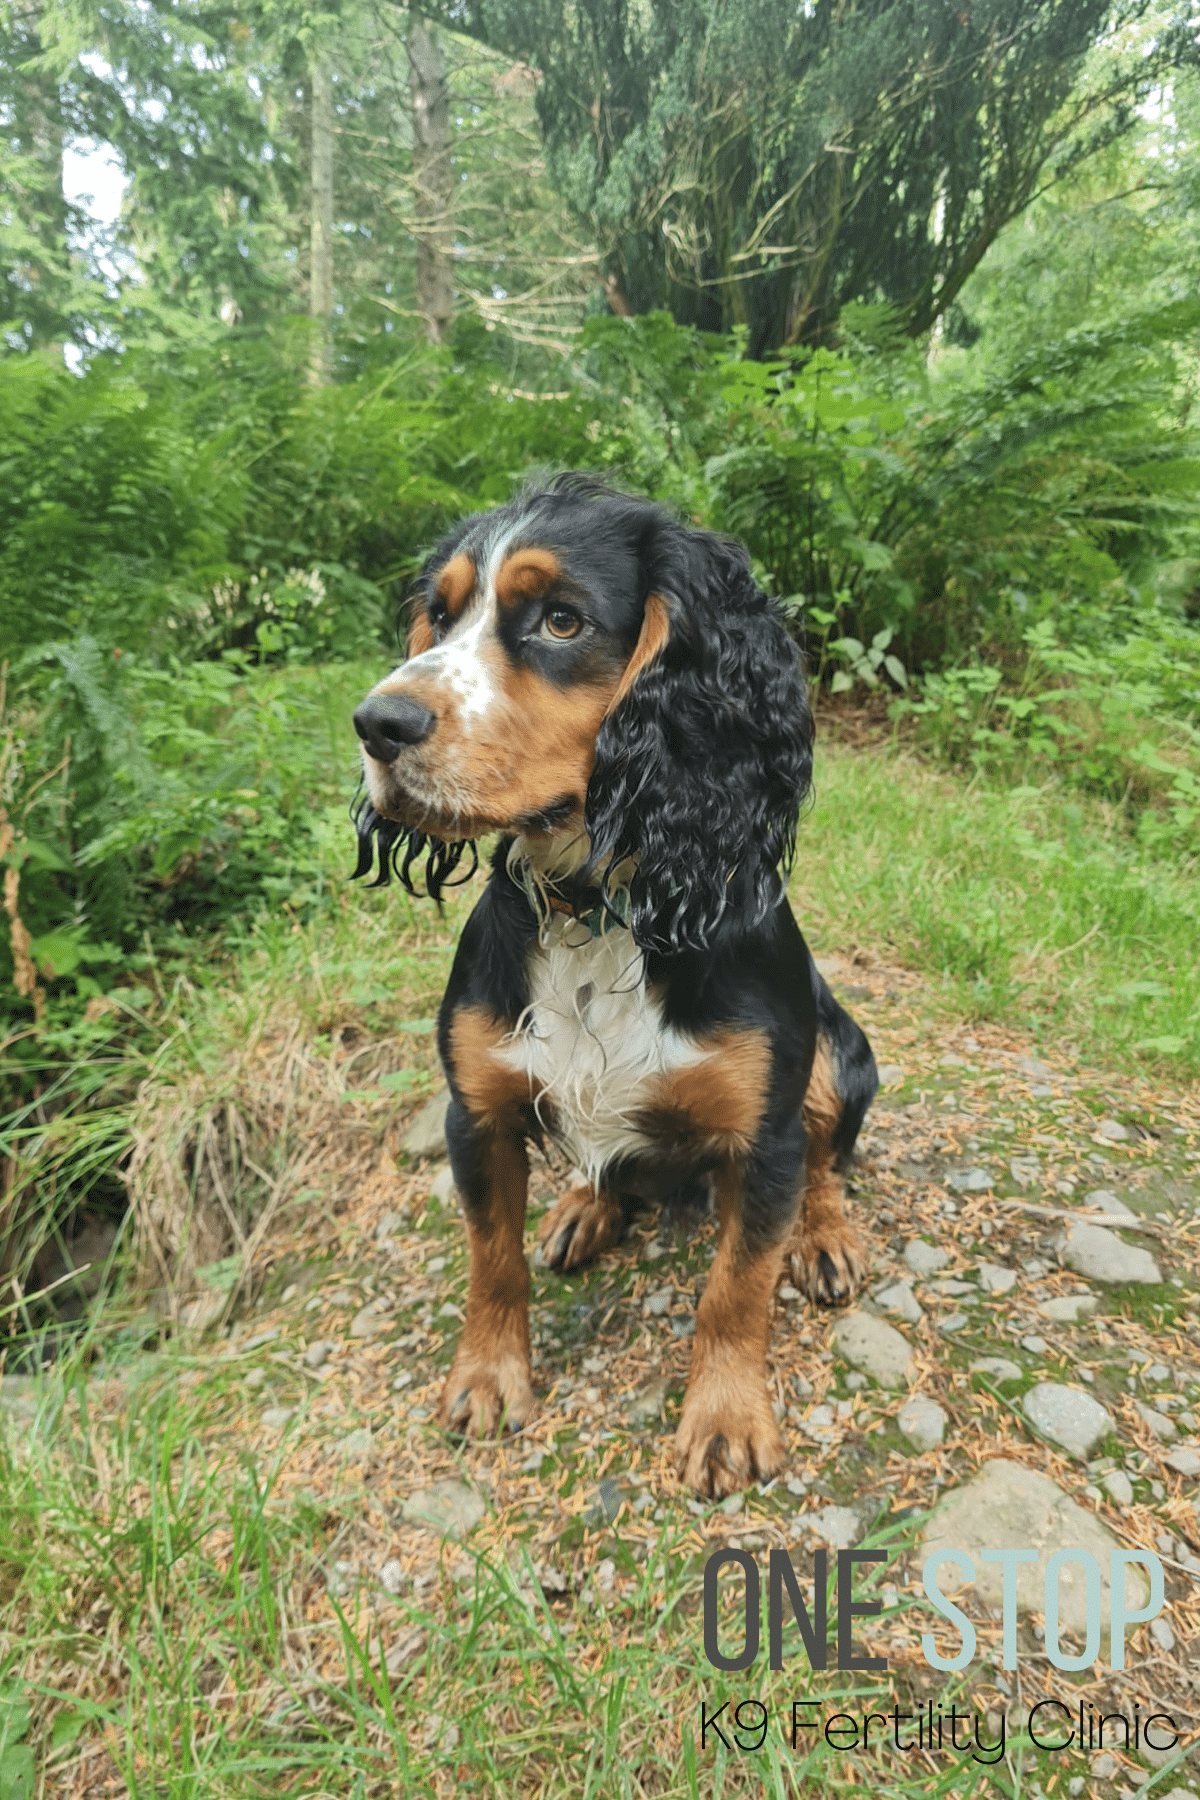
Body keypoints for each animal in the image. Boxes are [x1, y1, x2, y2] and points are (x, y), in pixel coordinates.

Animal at [352, 471, 877, 1497]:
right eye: (440, 616)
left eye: (561, 621)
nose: (377, 724)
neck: (594, 908)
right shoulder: (475, 1115)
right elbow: (492, 1260)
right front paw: (489, 1378)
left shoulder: (763, 1139)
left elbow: (736, 1289)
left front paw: (725, 1418)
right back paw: (584, 1209)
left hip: (842, 1051)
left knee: (828, 1158)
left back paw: (823, 1236)